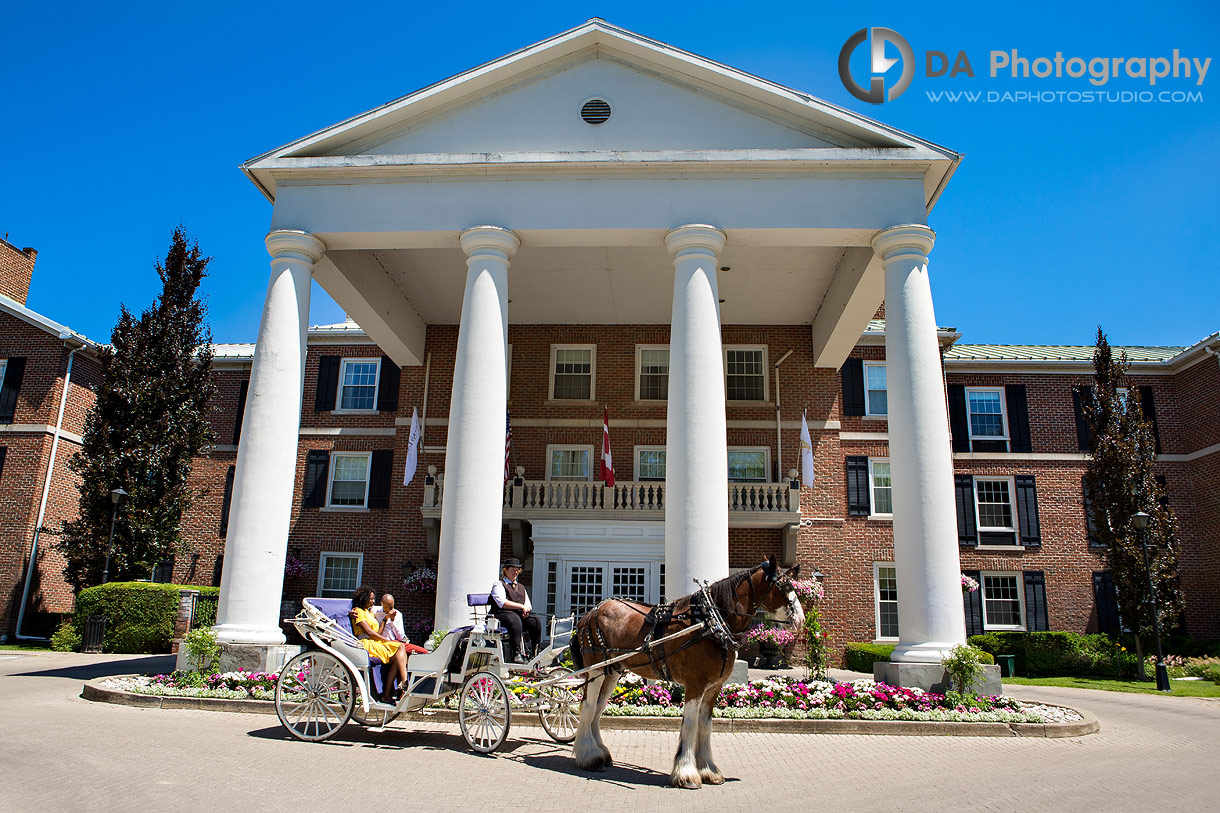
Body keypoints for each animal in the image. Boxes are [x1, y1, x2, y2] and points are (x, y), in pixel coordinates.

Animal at [568, 554, 800, 786]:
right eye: (786, 585)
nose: (799, 619)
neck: (710, 622)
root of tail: (591, 612)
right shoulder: (695, 683)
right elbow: (689, 723)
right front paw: (686, 772)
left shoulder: (714, 686)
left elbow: (705, 725)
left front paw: (708, 769)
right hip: (595, 668)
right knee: (588, 706)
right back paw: (589, 756)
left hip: (612, 670)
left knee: (598, 707)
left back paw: (600, 752)